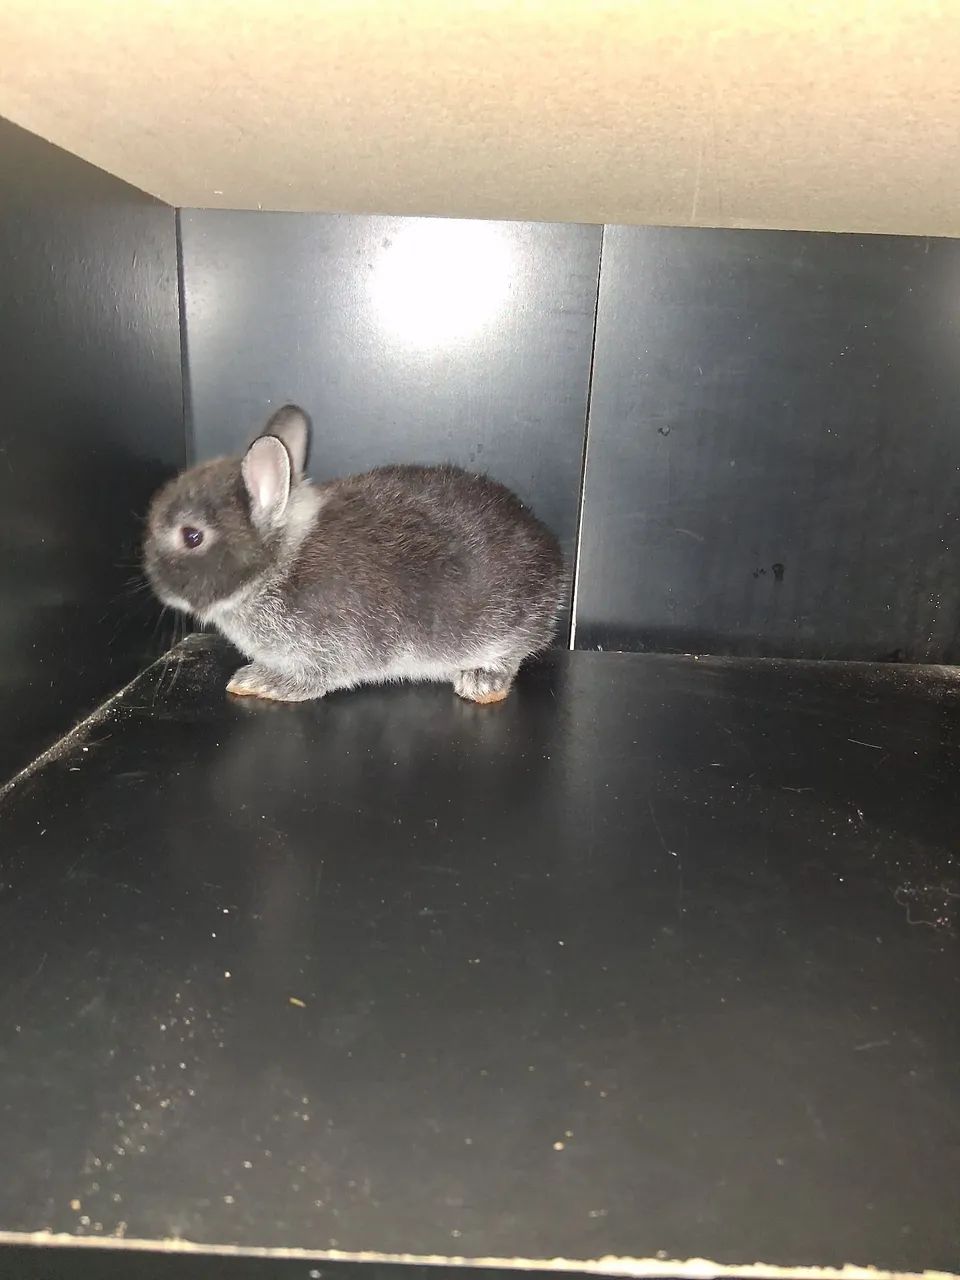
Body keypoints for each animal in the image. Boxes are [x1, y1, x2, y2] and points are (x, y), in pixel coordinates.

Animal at [143, 405, 566, 704]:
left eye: (192, 536)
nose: (154, 584)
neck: (276, 566)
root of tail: (556, 563)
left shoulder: (328, 648)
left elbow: (313, 680)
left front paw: (257, 682)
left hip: (504, 625)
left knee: (513, 654)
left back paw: (481, 682)